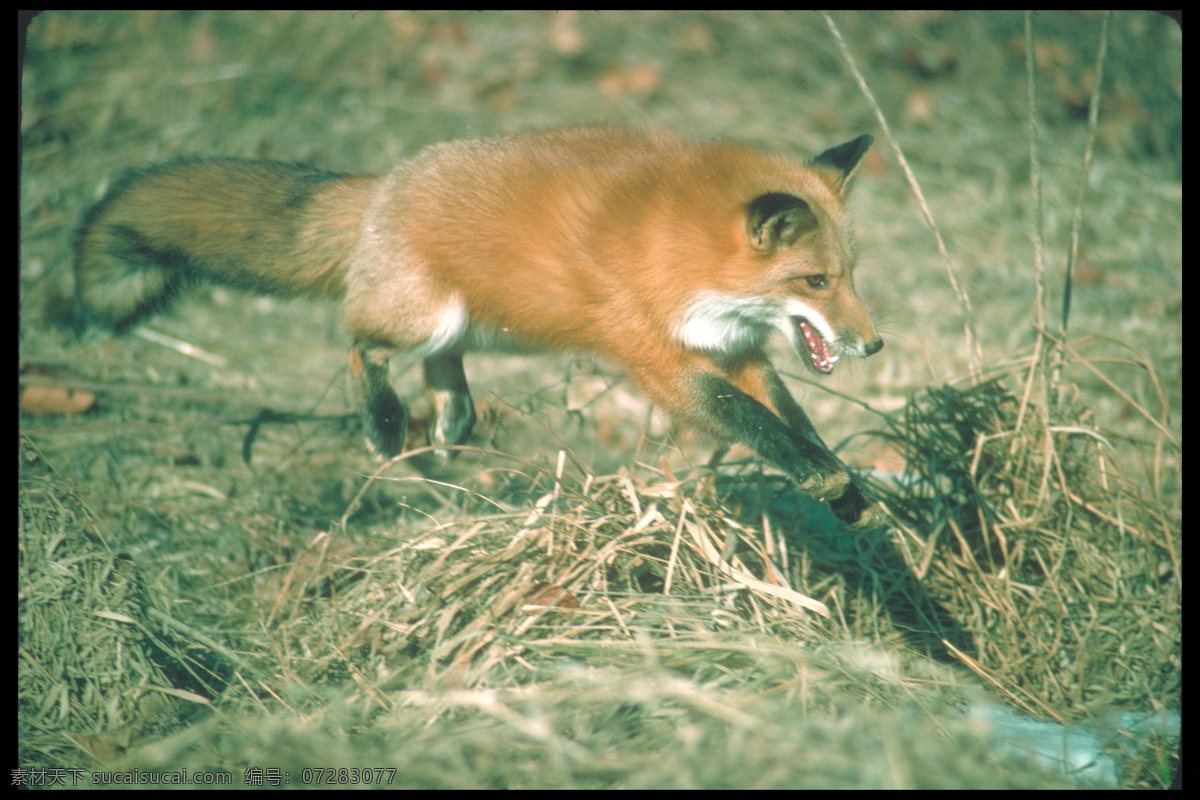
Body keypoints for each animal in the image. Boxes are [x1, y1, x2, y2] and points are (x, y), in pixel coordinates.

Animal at [72, 125, 883, 525]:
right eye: (815, 282)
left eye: (853, 273)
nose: (873, 344)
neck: (681, 252)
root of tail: (386, 181)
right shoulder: (659, 358)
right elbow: (747, 419)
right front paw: (823, 476)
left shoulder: (738, 350)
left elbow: (788, 417)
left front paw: (841, 488)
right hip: (423, 316)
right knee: (357, 339)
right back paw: (385, 422)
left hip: (479, 322)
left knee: (443, 364)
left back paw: (452, 420)